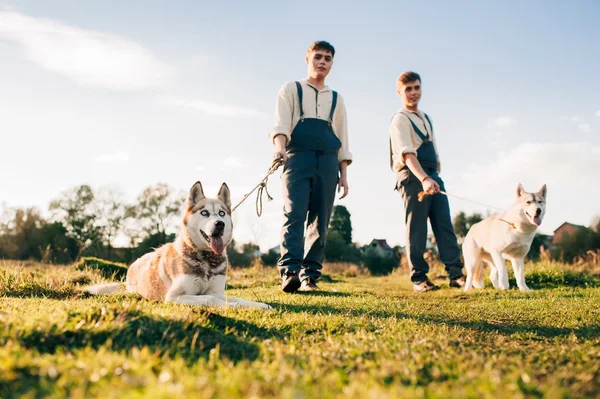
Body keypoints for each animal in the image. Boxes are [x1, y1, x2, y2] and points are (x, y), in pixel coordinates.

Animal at [84, 181, 272, 310]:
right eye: (204, 212)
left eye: (221, 213)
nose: (219, 224)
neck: (206, 259)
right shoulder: (175, 297)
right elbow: (212, 299)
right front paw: (230, 306)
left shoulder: (217, 291)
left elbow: (235, 298)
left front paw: (258, 305)